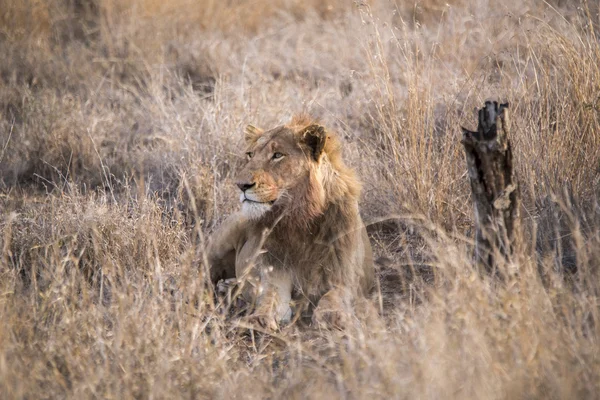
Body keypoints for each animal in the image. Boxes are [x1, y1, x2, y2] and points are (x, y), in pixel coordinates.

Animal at [209, 115, 372, 328]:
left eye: (278, 155)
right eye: (250, 155)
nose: (241, 185)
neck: (300, 219)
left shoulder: (346, 279)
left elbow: (333, 297)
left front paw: (333, 317)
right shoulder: (274, 275)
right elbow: (271, 299)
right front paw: (258, 320)